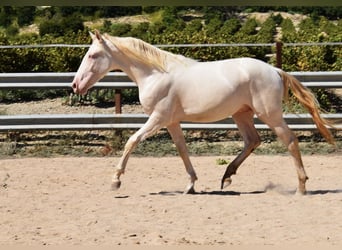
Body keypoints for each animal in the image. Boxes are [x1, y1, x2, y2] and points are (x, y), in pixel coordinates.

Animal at [71, 30, 336, 194]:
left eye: (93, 55)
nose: (75, 85)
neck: (155, 74)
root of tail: (275, 70)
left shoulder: (158, 118)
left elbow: (132, 141)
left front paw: (115, 181)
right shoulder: (171, 122)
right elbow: (182, 149)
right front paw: (190, 185)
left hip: (269, 114)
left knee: (290, 140)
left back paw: (301, 187)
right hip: (241, 114)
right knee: (253, 140)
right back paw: (227, 176)